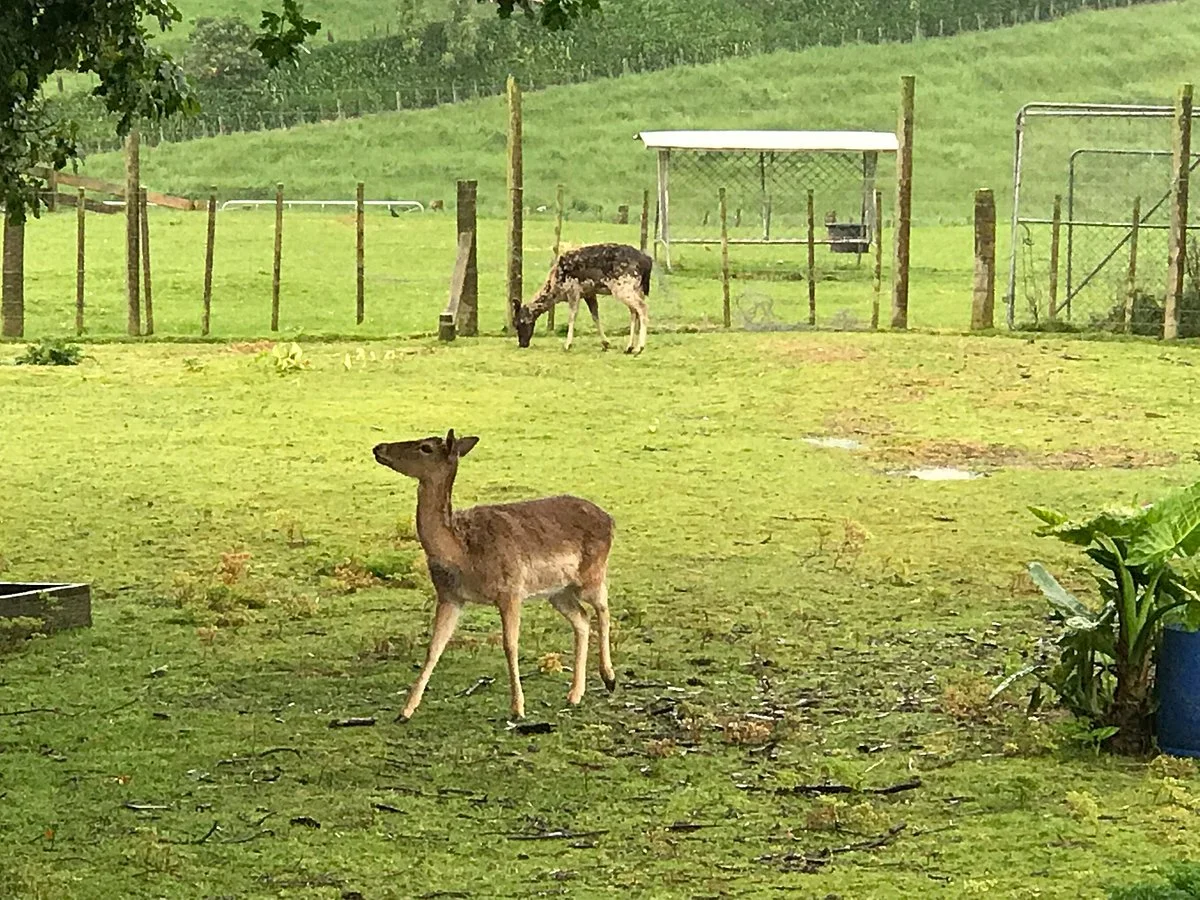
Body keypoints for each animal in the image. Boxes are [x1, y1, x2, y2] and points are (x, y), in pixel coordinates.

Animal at [373, 430, 617, 721]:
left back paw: (609, 678)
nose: (379, 448)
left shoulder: (510, 590)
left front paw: (517, 709)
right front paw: (405, 711)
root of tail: (610, 519)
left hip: (592, 573)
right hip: (557, 592)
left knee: (603, 608)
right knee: (582, 619)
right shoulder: (449, 596)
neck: (462, 554)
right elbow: (434, 647)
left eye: (426, 447)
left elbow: (510, 645)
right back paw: (574, 695)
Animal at [514, 243, 652, 355]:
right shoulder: (589, 293)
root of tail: (647, 261)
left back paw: (639, 348)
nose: (522, 344)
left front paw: (567, 345)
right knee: (634, 311)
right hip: (636, 288)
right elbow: (595, 316)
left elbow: (572, 316)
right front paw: (605, 343)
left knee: (642, 307)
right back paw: (629, 347)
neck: (556, 286)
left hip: (623, 286)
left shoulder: (573, 289)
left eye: (519, 323)